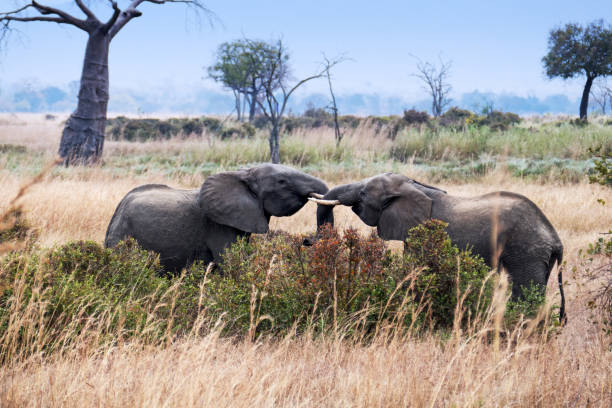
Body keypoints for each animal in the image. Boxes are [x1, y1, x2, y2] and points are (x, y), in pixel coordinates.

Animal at [314, 172, 568, 318]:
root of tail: (555, 238)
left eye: (364, 193)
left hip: (526, 251)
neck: (417, 187)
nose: (309, 240)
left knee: (525, 293)